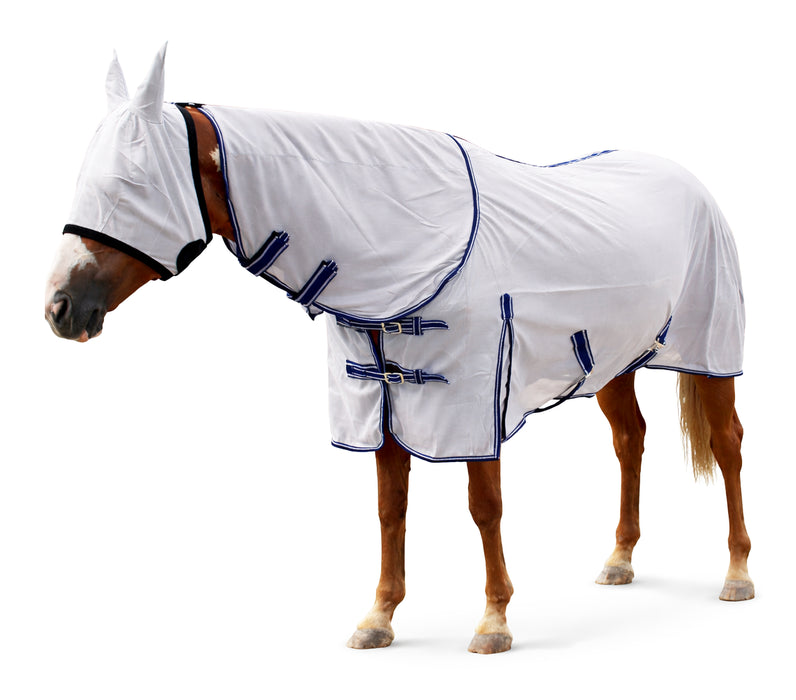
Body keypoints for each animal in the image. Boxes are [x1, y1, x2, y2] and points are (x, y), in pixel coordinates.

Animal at [44, 46, 754, 654]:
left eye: (132, 186)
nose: (59, 307)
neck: (405, 236)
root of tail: (687, 179)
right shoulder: (379, 396)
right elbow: (390, 509)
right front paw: (378, 618)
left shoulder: (471, 401)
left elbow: (484, 507)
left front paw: (494, 621)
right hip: (612, 359)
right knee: (630, 440)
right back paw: (619, 561)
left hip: (710, 350)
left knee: (726, 444)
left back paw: (737, 573)